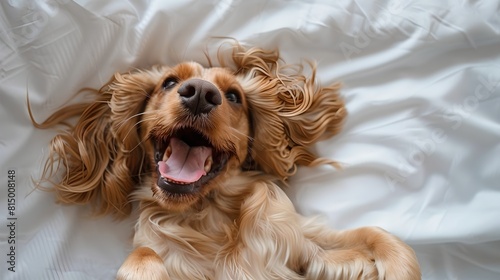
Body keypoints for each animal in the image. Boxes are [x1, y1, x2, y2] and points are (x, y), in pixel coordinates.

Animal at [33, 44, 420, 278]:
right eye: (168, 82)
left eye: (233, 96)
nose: (201, 94)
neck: (209, 215)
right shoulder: (153, 246)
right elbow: (143, 255)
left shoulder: (298, 243)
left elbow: (379, 235)